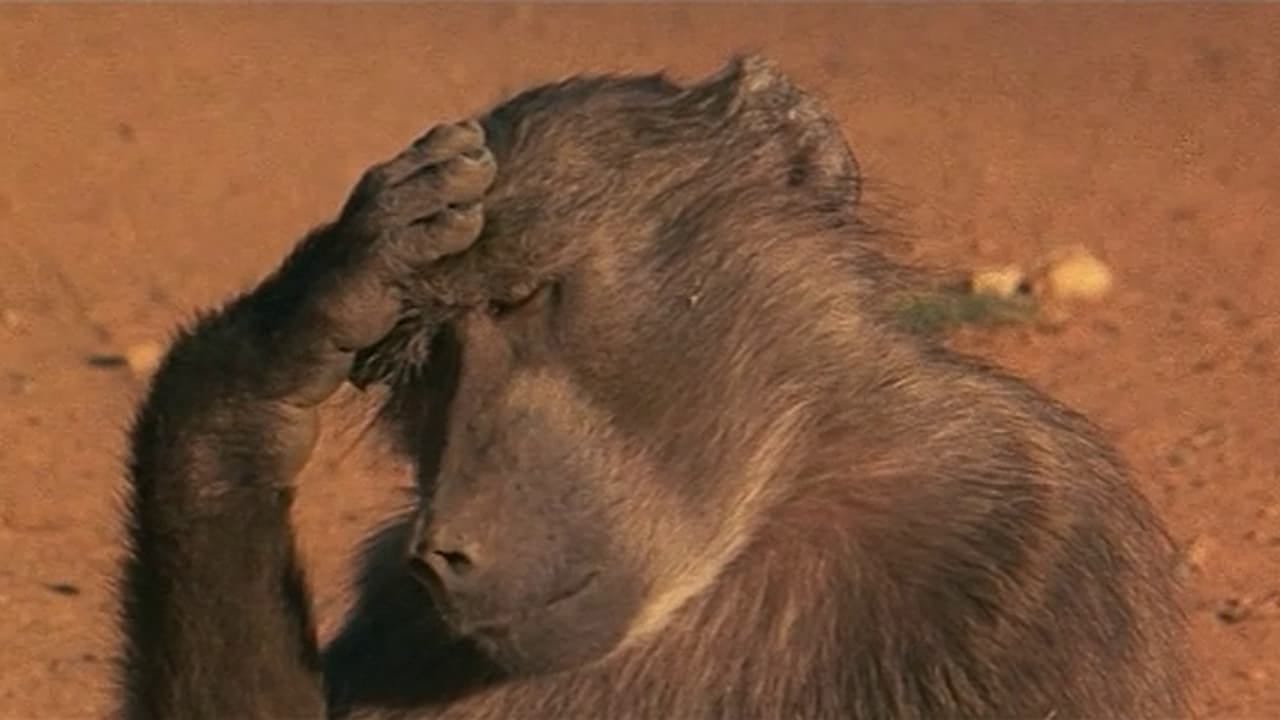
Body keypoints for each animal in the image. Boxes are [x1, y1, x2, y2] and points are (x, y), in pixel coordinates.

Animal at [112, 54, 1190, 720]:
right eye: (411, 364)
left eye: (517, 298)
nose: (442, 552)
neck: (750, 542)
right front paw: (277, 346)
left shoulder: (1035, 550)